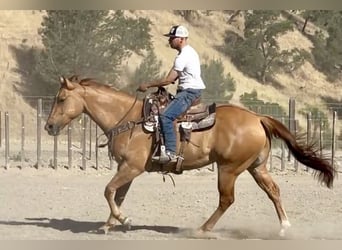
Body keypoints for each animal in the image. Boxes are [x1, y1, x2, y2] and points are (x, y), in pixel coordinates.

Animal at [44, 75, 336, 236]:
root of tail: (257, 117)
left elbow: (108, 191)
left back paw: (202, 229)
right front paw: (109, 225)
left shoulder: (132, 167)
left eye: (61, 99)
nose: (49, 126)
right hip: (256, 167)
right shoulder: (126, 168)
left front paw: (123, 219)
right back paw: (284, 227)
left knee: (226, 200)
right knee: (273, 191)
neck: (128, 119)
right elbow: (117, 194)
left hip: (228, 169)